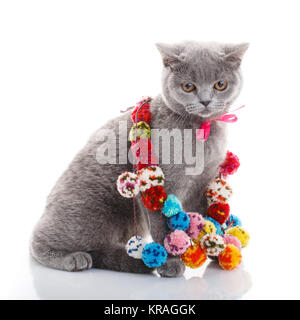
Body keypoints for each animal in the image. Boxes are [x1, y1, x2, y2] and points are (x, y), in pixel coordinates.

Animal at [31, 41, 248, 278]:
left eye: (220, 85)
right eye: (188, 86)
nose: (206, 100)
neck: (202, 132)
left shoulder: (203, 183)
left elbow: (207, 216)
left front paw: (219, 250)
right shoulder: (163, 183)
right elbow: (162, 225)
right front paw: (170, 262)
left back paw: (133, 262)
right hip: (89, 214)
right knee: (38, 240)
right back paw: (73, 258)